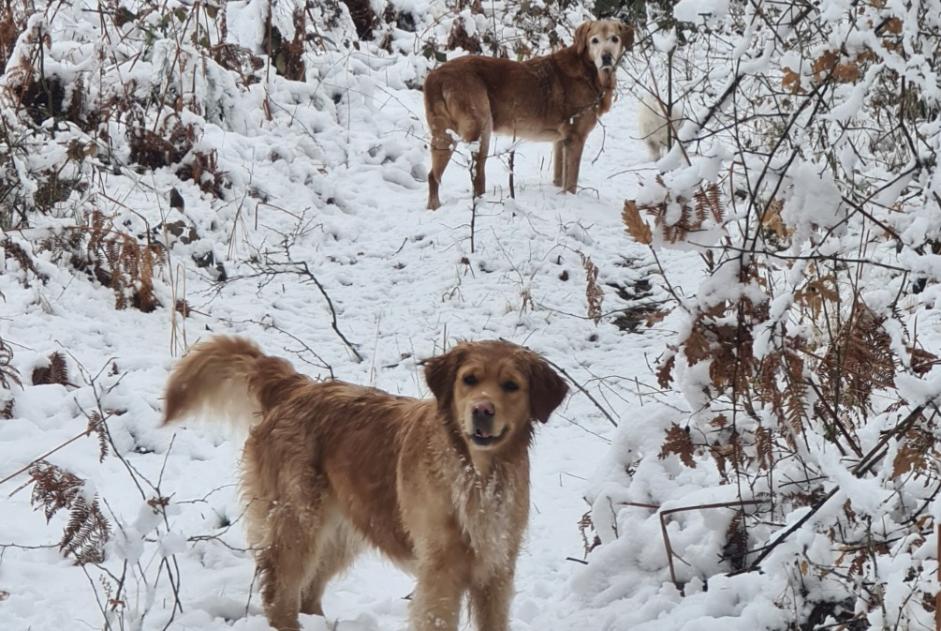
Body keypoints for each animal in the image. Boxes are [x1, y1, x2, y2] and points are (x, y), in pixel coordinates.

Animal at [160, 338, 564, 628]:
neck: (478, 474)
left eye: (511, 385)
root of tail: (296, 387)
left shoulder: (497, 571)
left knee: (308, 592)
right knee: (280, 594)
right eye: (470, 380)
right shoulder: (439, 571)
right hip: (298, 522)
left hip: (343, 531)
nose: (482, 410)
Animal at [424, 19, 632, 210]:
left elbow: (559, 176)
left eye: (614, 39)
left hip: (443, 136)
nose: (607, 57)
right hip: (481, 129)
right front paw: (571, 201)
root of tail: (435, 77)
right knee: (477, 177)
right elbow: (571, 182)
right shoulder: (576, 138)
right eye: (594, 40)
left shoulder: (560, 141)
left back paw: (434, 207)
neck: (589, 70)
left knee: (433, 176)